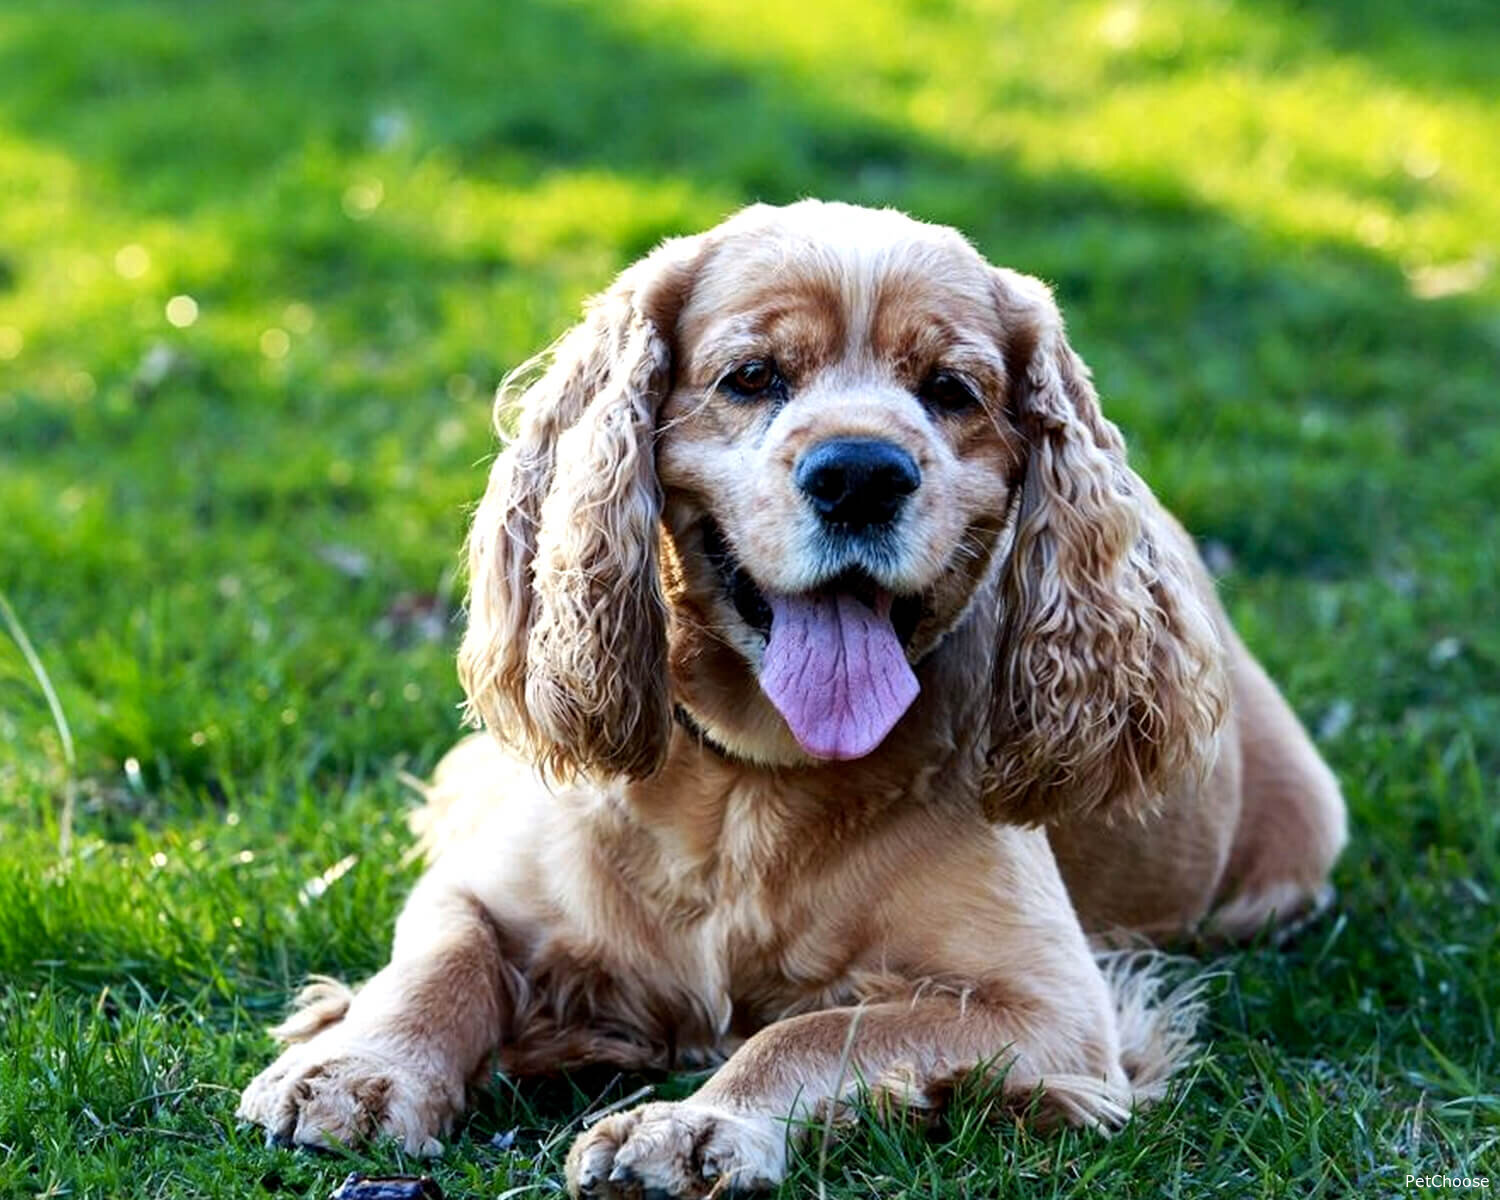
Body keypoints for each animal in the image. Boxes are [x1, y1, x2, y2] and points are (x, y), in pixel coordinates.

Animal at [237, 201, 1350, 1194]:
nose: (860, 473)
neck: (753, 781)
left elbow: (817, 1030)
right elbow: (442, 958)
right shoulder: (489, 885)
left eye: (951, 390)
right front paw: (358, 1071)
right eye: (752, 378)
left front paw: (690, 1127)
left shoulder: (1052, 1011)